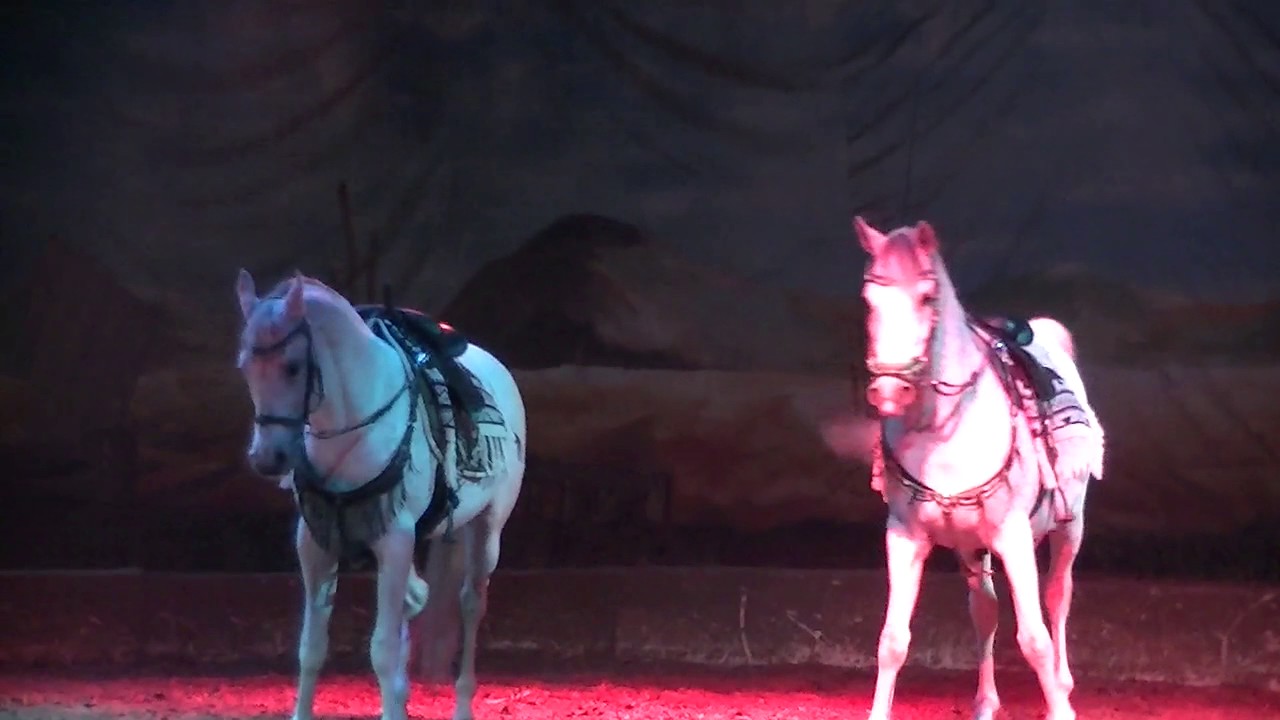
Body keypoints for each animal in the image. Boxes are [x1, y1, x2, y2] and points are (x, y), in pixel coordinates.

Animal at [233, 269, 527, 720]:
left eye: (292, 367)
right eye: (246, 366)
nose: (267, 457)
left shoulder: (394, 540)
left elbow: (383, 652)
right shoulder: (315, 542)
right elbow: (311, 648)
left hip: (488, 528)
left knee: (470, 603)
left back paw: (462, 701)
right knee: (416, 601)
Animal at [853, 217, 1105, 720]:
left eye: (927, 297)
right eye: (870, 298)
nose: (889, 390)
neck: (944, 430)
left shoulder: (1013, 535)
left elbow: (1035, 638)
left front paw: (1060, 707)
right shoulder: (905, 535)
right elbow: (892, 640)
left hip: (1070, 525)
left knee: (1058, 595)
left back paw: (1064, 686)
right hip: (972, 546)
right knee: (985, 609)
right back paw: (987, 701)